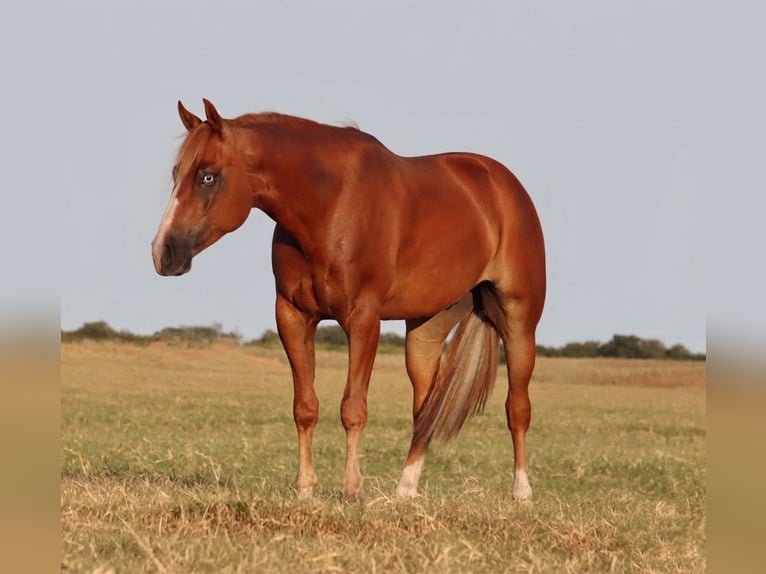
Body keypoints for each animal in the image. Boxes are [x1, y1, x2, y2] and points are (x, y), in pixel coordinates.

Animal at [151, 99, 546, 502]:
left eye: (208, 177)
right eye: (176, 173)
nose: (163, 253)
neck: (329, 206)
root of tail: (502, 184)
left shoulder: (363, 319)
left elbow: (353, 407)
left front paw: (352, 489)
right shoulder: (292, 315)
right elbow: (305, 406)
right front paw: (305, 488)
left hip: (519, 320)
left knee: (517, 407)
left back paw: (522, 492)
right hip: (426, 328)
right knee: (425, 408)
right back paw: (406, 490)